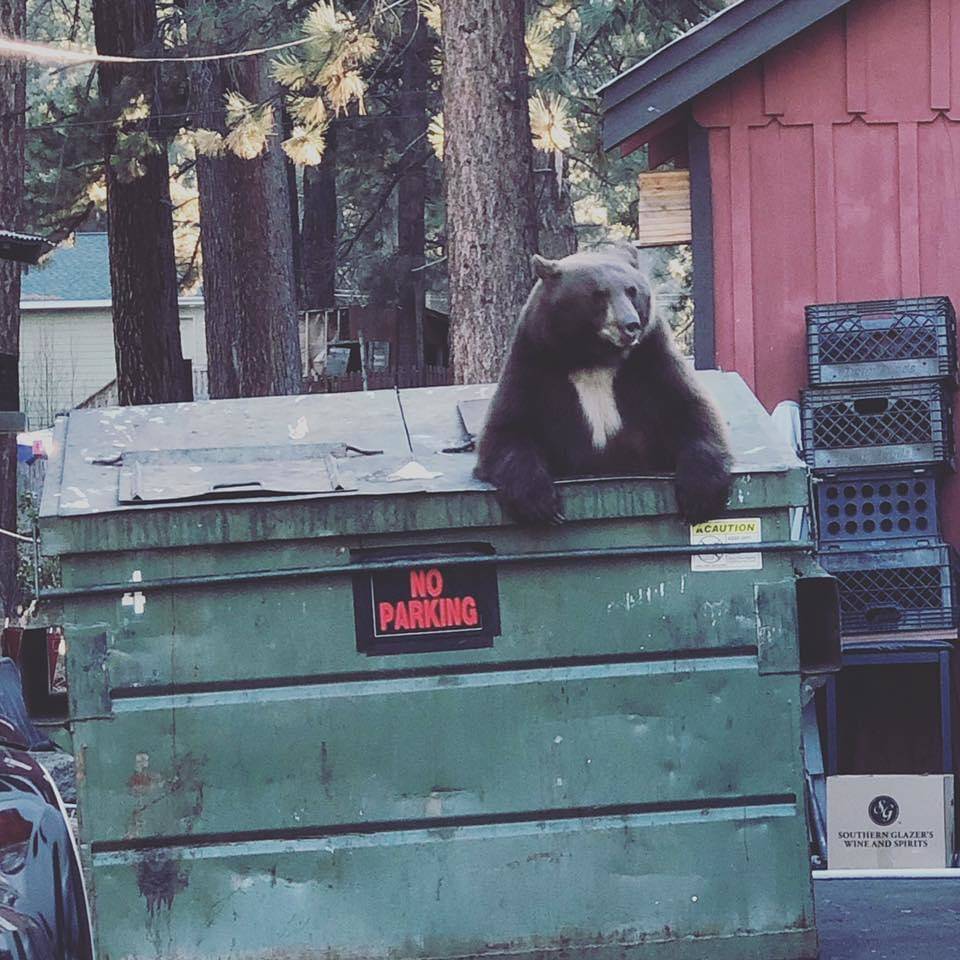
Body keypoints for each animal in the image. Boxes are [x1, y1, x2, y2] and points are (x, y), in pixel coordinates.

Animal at [474, 240, 736, 524]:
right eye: (599, 294)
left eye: (632, 291)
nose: (630, 325)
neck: (594, 358)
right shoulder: (533, 362)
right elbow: (507, 431)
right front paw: (540, 503)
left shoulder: (653, 359)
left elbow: (691, 411)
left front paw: (699, 494)